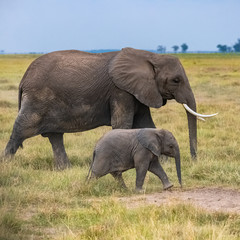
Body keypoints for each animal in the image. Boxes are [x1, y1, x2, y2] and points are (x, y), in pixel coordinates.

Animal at [4, 47, 218, 170]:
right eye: (176, 80)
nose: (194, 160)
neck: (150, 56)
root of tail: (24, 78)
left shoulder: (138, 91)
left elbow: (146, 123)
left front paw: (162, 162)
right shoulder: (120, 91)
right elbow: (123, 124)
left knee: (55, 136)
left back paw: (65, 170)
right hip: (37, 99)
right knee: (22, 129)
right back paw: (6, 165)